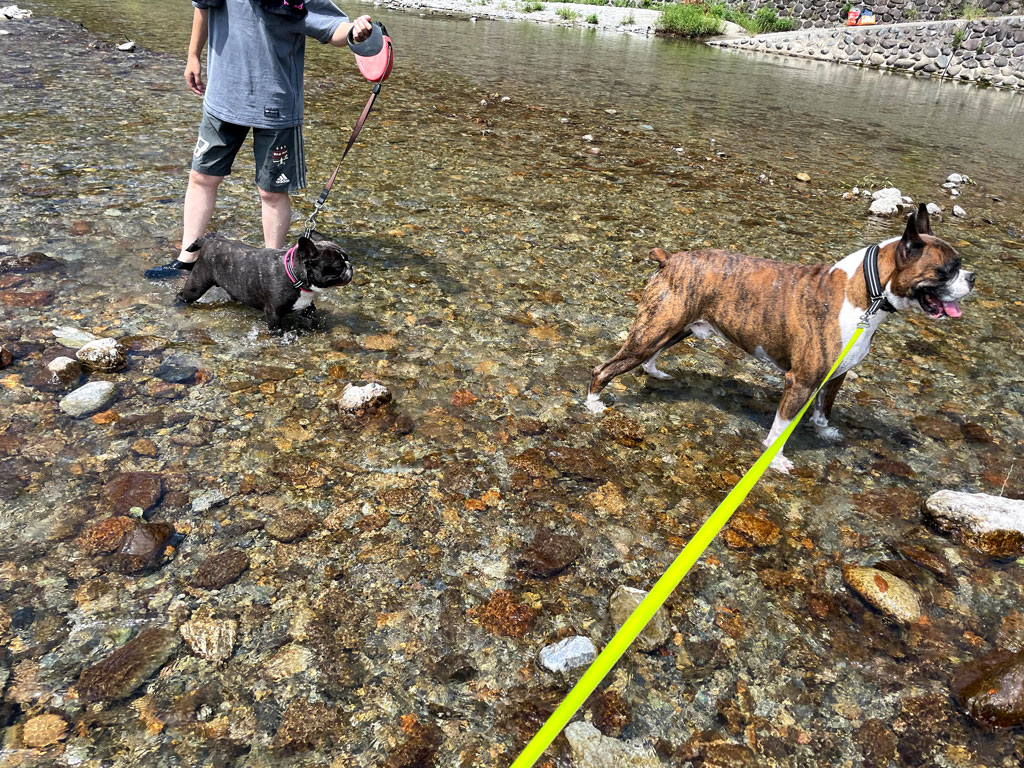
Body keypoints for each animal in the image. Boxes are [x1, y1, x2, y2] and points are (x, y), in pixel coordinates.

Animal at [589, 201, 970, 473]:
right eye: (947, 270)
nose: (973, 277)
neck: (868, 291)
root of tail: (671, 259)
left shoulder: (835, 375)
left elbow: (824, 408)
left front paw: (824, 431)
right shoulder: (799, 382)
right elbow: (781, 427)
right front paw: (775, 460)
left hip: (673, 328)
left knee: (651, 355)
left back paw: (654, 372)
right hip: (651, 332)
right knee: (604, 369)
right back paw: (593, 403)